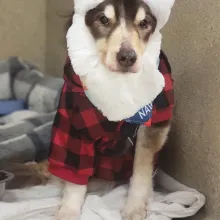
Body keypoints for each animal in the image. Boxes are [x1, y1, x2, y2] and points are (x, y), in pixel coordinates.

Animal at [10, 0, 174, 220]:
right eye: (103, 19)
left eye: (144, 23)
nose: (127, 57)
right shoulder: (74, 126)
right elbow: (75, 178)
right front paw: (69, 210)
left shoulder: (154, 125)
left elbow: (141, 171)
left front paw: (135, 207)